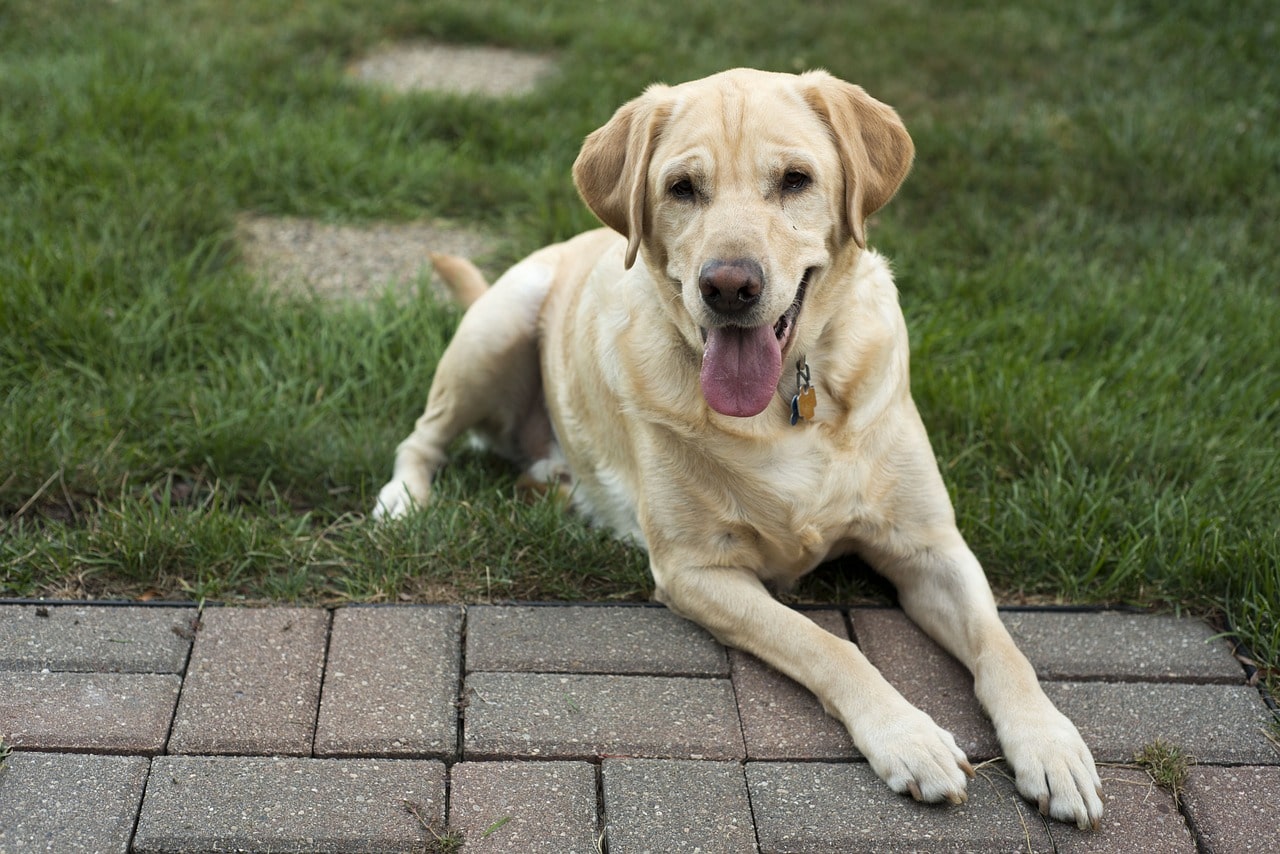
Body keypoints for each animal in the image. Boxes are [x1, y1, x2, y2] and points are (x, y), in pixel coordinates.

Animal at [373, 70, 1105, 829]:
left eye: (795, 180)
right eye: (682, 188)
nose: (728, 285)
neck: (788, 400)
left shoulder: (931, 546)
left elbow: (1003, 647)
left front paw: (1050, 746)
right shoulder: (696, 571)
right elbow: (828, 644)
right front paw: (910, 739)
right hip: (497, 326)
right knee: (422, 436)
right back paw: (403, 502)